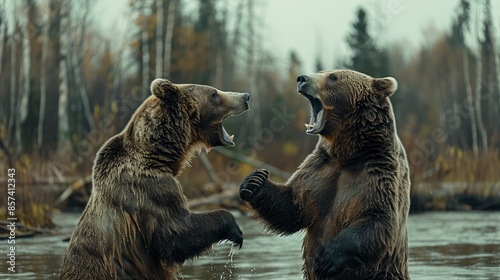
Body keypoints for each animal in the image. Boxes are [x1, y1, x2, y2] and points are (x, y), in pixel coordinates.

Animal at [61, 78, 249, 280]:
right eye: (214, 94)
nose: (245, 96)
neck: (158, 154)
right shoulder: (148, 189)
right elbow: (176, 232)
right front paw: (235, 229)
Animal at [239, 70, 410, 280]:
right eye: (321, 72)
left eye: (333, 76)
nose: (302, 78)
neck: (347, 155)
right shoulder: (319, 169)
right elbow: (292, 206)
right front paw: (255, 181)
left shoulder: (377, 172)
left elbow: (378, 219)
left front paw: (326, 258)